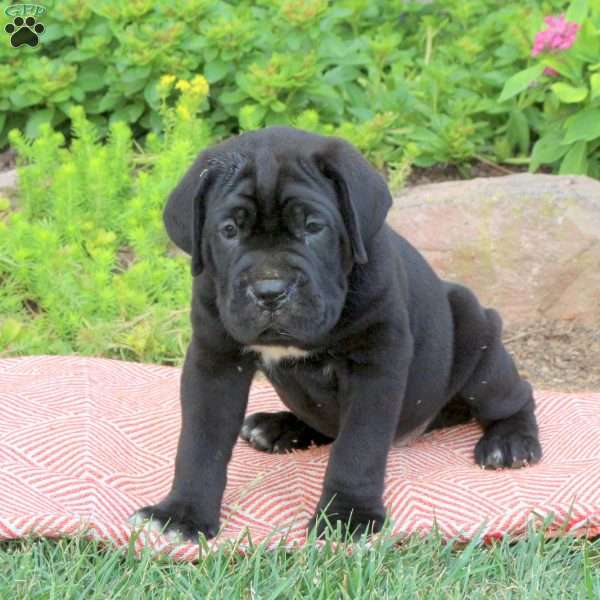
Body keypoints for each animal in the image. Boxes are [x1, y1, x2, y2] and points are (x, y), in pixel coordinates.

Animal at [129, 129, 540, 540]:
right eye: (229, 231)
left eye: (313, 227)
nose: (270, 290)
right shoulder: (215, 361)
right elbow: (201, 441)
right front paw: (182, 512)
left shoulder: (375, 365)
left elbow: (357, 447)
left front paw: (347, 515)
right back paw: (276, 427)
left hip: (477, 339)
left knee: (514, 396)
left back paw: (510, 442)